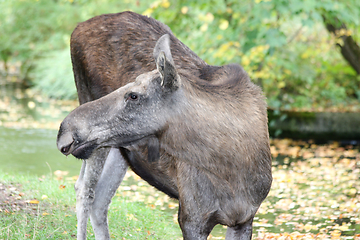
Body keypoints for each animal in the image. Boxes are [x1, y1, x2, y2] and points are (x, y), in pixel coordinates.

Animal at [57, 11, 270, 240]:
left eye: (133, 95)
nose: (64, 130)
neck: (231, 170)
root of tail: (77, 27)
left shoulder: (244, 219)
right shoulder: (192, 218)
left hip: (119, 148)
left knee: (99, 199)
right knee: (84, 190)